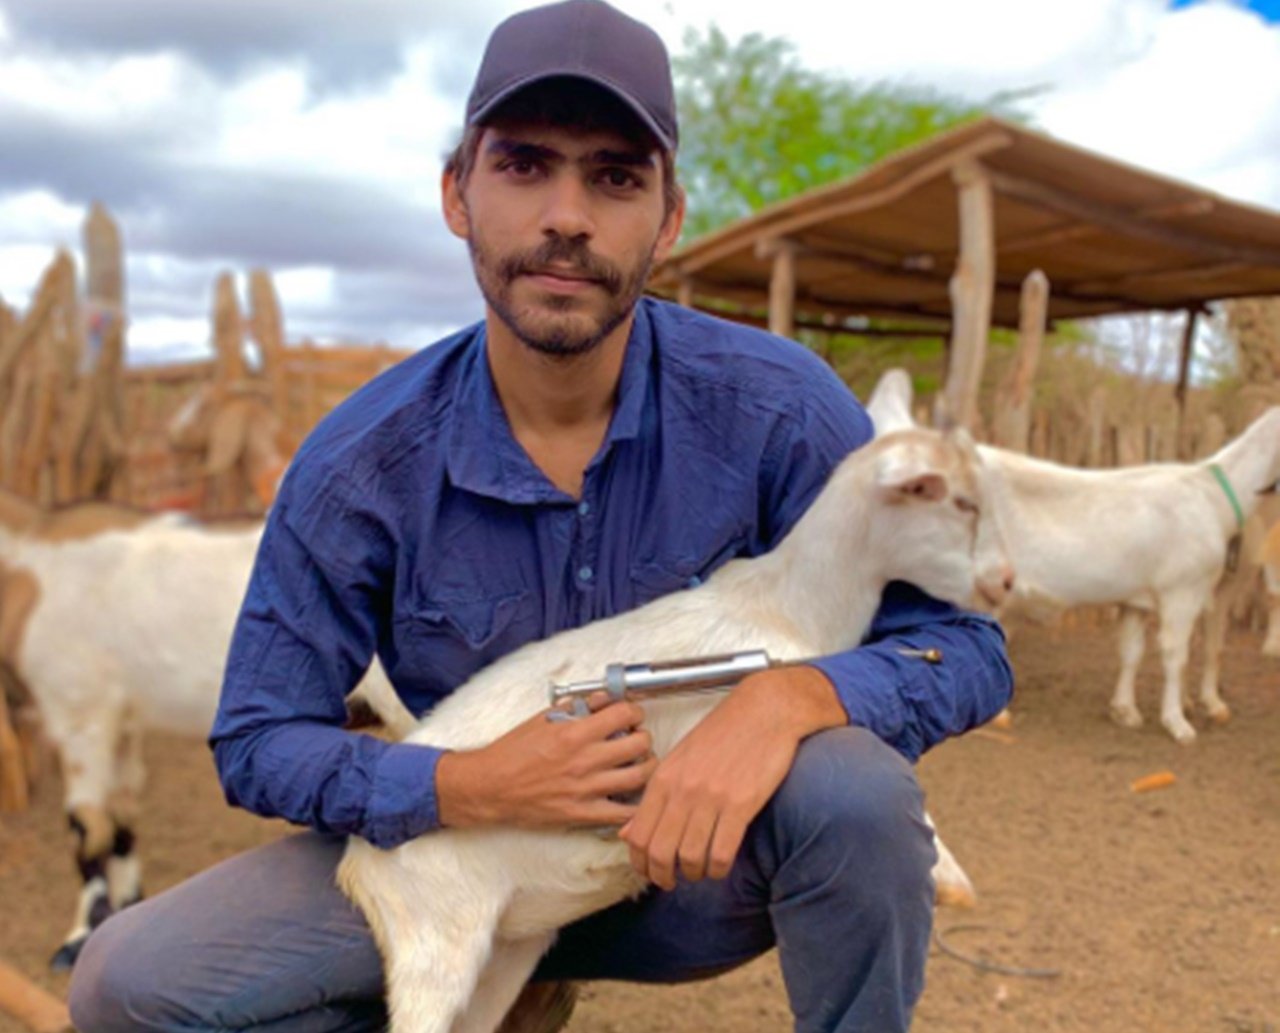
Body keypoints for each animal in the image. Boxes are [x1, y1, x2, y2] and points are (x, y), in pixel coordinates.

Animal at [0, 488, 409, 967]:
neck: (34, 553)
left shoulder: (80, 713)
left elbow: (86, 829)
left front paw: (77, 938)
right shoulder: (122, 719)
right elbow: (121, 817)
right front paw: (125, 907)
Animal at [340, 427, 1008, 1033]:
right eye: (957, 501)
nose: (1003, 583)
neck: (786, 607)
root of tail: (358, 866)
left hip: (504, 952)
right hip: (436, 945)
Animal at [865, 368, 1280, 742]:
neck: (1214, 494)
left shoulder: (1137, 599)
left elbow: (1131, 651)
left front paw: (1125, 710)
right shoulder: (1182, 591)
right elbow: (1175, 655)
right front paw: (1178, 723)